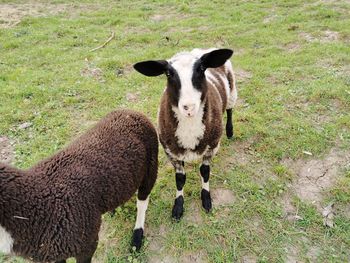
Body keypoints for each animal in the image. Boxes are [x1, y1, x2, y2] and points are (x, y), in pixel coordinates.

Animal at [0, 110, 159, 263]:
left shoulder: (87, 243)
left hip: (151, 165)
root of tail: (131, 112)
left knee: (142, 201)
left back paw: (136, 240)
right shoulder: (57, 252)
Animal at [134, 48, 238, 221]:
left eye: (201, 68)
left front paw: (206, 199)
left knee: (230, 109)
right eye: (168, 73)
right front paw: (178, 207)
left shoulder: (212, 147)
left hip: (232, 91)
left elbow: (205, 172)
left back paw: (230, 131)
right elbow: (180, 179)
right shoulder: (171, 152)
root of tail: (202, 49)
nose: (189, 107)